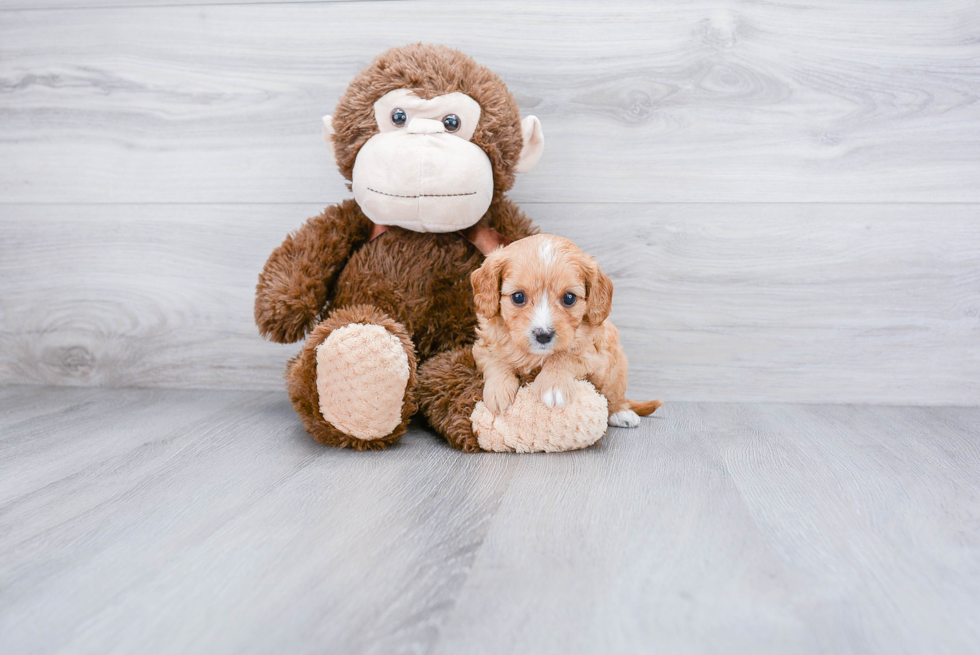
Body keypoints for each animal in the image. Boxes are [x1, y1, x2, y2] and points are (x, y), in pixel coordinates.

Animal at [470, 233, 664, 428]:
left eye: (569, 298)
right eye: (518, 297)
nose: (543, 335)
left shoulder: (591, 353)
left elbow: (564, 356)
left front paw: (553, 385)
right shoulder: (485, 345)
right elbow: (497, 360)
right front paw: (498, 391)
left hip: (615, 368)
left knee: (613, 394)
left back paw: (622, 412)